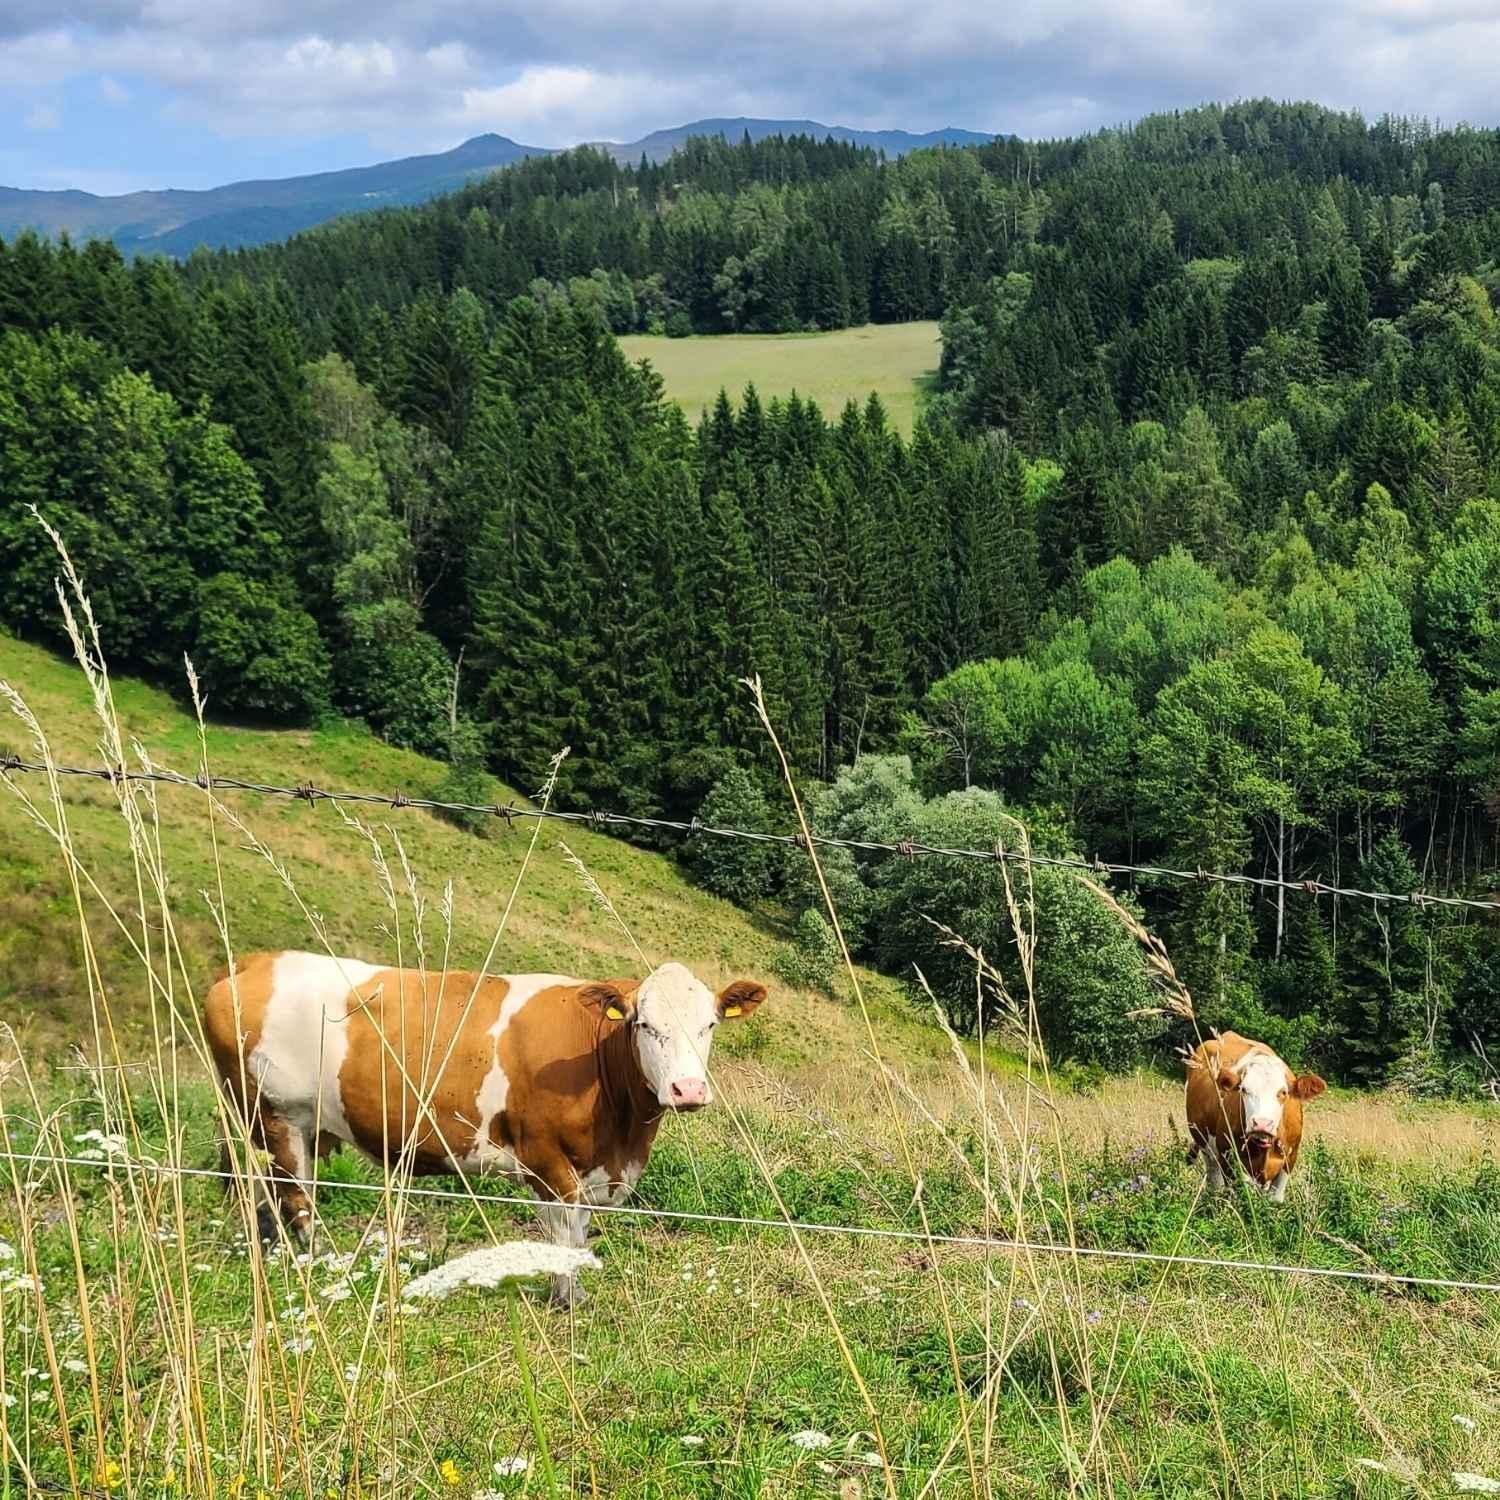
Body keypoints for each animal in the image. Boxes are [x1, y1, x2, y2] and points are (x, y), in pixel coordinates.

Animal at [202, 952, 767, 1303]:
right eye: (644, 1025)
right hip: (276, 1113)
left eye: (709, 1024)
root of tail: (259, 960)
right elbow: (563, 1235)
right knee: (294, 1196)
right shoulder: (546, 1158)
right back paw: (318, 1264)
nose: (688, 1090)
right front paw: (568, 1299)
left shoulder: (592, 1165)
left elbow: (580, 1232)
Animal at [1184, 1031, 1327, 1201]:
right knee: (1214, 1181)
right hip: (1205, 1146)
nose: (1261, 1123)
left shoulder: (1289, 1160)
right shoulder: (1229, 1158)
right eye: (1244, 1089)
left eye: (1283, 1092)